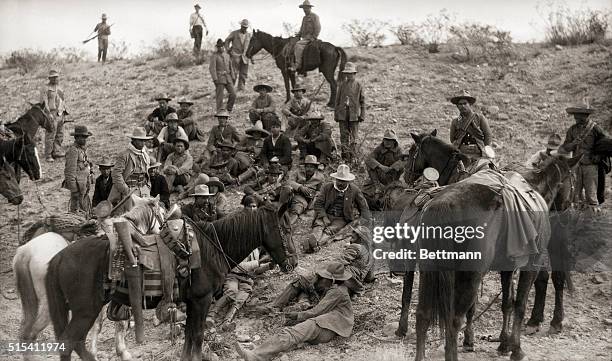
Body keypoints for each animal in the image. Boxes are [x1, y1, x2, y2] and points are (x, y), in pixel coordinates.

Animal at [13, 195, 167, 358]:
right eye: (162, 212)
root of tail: (25, 252)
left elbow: (99, 324)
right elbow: (117, 323)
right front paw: (122, 351)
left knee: (25, 332)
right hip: (48, 305)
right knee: (30, 334)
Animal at [43, 202, 296, 360]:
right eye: (285, 229)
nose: (292, 263)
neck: (211, 249)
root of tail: (58, 257)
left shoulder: (193, 302)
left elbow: (188, 338)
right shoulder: (202, 300)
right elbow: (197, 337)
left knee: (76, 344)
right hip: (86, 310)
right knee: (69, 343)